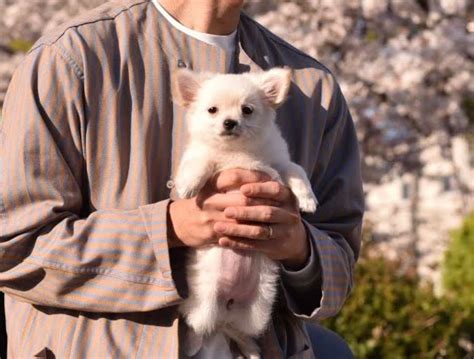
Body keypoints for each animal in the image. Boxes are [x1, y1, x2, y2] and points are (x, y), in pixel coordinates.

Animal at [172, 67, 316, 358]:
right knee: (198, 326)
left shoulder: (279, 163)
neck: (237, 151)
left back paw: (250, 350)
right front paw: (189, 185)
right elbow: (202, 160)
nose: (229, 122)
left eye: (247, 110)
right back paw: (193, 343)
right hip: (202, 304)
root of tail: (226, 308)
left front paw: (308, 199)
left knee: (239, 332)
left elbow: (296, 171)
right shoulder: (208, 158)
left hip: (257, 309)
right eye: (212, 110)